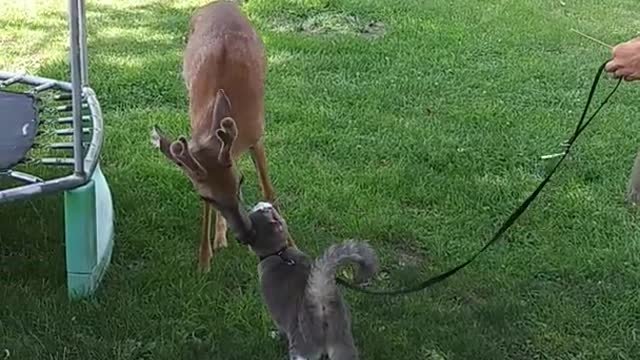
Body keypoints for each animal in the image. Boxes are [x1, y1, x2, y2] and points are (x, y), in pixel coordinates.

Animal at [151, 0, 294, 272]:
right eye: (204, 195)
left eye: (240, 181)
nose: (247, 235)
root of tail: (221, 3)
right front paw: (204, 260)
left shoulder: (256, 136)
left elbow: (268, 190)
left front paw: (290, 243)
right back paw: (219, 238)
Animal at [246, 202, 378, 360]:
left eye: (261, 209)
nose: (266, 204)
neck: (280, 253)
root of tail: (321, 300)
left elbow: (280, 328)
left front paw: (275, 335)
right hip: (342, 339)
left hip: (302, 345)